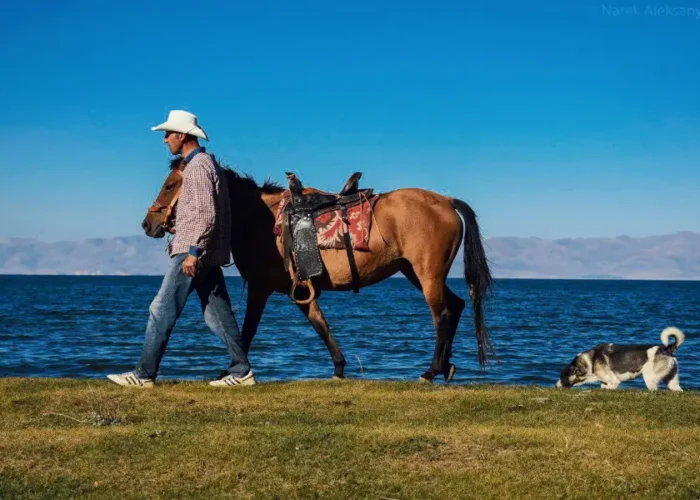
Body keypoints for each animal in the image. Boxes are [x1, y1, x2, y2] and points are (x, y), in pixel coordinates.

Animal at [142, 156, 496, 383]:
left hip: (426, 274)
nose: (149, 223)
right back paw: (446, 368)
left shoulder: (260, 288)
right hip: (415, 272)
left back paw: (431, 370)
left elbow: (247, 330)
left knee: (442, 315)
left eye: (171, 185)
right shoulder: (300, 290)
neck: (260, 219)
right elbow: (320, 324)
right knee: (456, 305)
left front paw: (234, 371)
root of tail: (446, 201)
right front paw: (339, 367)